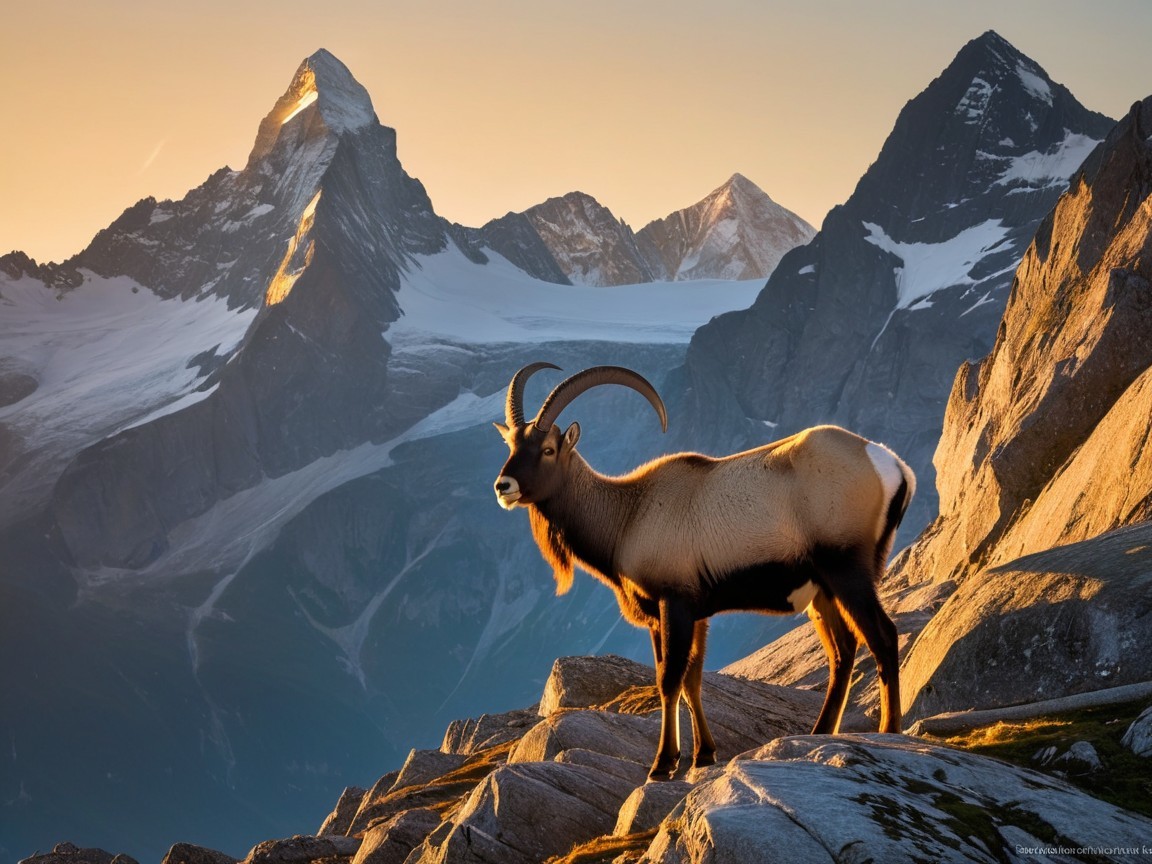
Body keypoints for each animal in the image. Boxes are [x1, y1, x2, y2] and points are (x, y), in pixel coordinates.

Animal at [493, 363, 914, 780]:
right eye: (512, 446)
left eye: (548, 449)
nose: (503, 486)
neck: (630, 513)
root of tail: (890, 464)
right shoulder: (681, 616)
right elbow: (691, 680)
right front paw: (703, 754)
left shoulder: (674, 604)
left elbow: (669, 679)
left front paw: (663, 764)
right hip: (823, 590)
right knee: (843, 651)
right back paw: (819, 732)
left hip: (847, 572)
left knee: (882, 635)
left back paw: (889, 730)